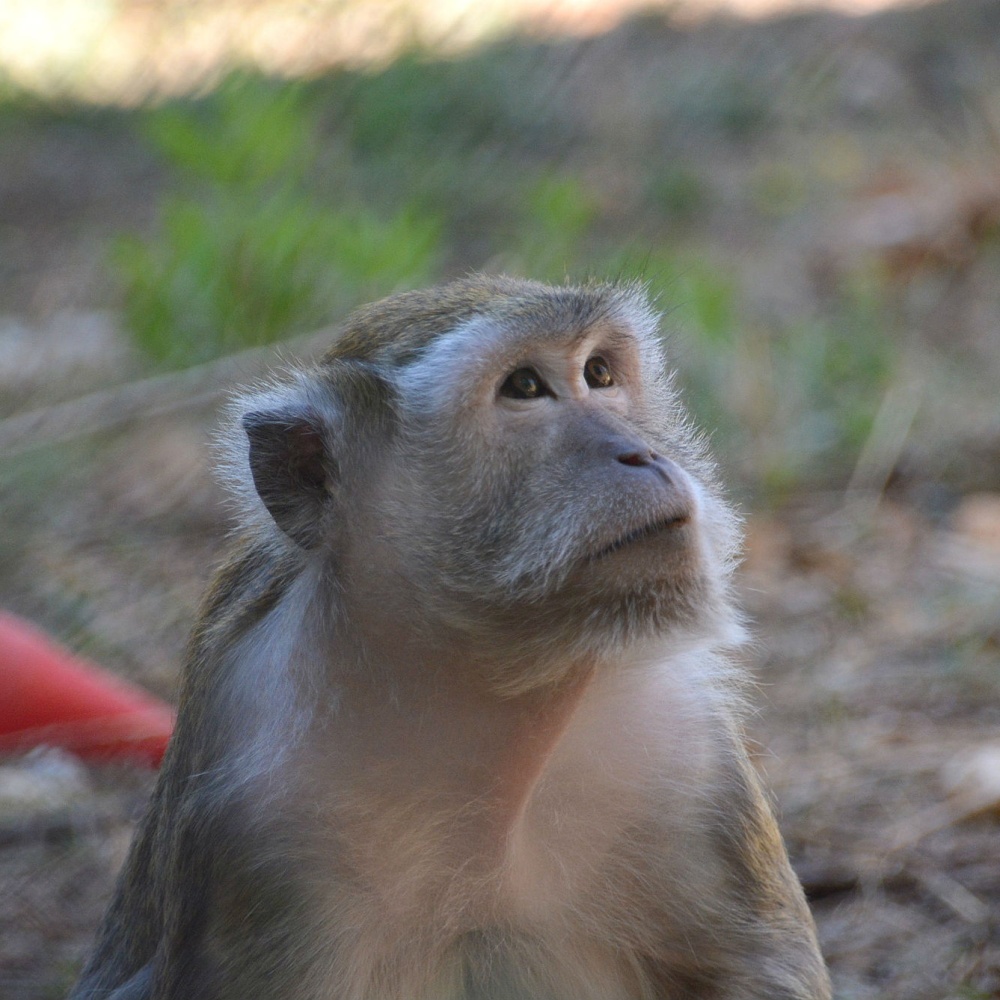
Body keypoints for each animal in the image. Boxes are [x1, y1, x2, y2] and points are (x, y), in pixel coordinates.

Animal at [72, 276, 828, 1000]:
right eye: (524, 387)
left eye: (600, 373)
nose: (640, 454)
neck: (491, 708)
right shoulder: (261, 829)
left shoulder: (686, 752)